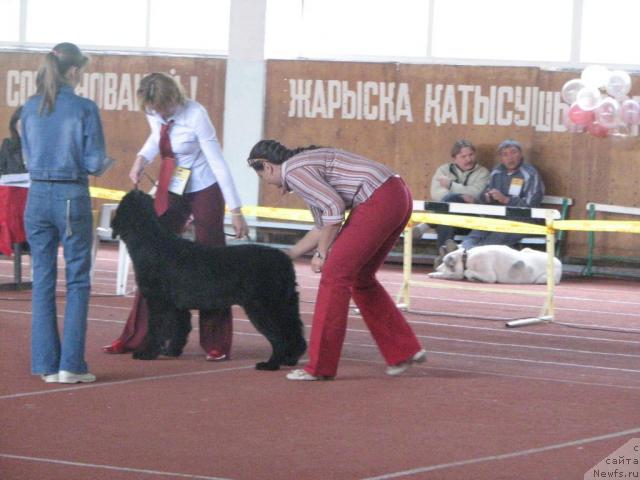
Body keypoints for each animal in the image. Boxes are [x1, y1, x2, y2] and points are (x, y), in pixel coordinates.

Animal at [110, 189, 308, 370]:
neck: (151, 242)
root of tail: (284, 260)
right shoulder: (177, 306)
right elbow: (180, 328)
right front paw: (172, 351)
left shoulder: (159, 301)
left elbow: (156, 328)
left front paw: (146, 353)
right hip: (286, 305)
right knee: (295, 333)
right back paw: (290, 359)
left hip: (264, 307)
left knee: (280, 337)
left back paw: (270, 364)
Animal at [430, 246, 560, 284]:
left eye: (446, 264)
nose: (436, 268)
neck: (465, 259)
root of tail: (559, 262)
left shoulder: (489, 274)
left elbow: (467, 272)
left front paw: (472, 278)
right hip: (526, 249)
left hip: (543, 279)